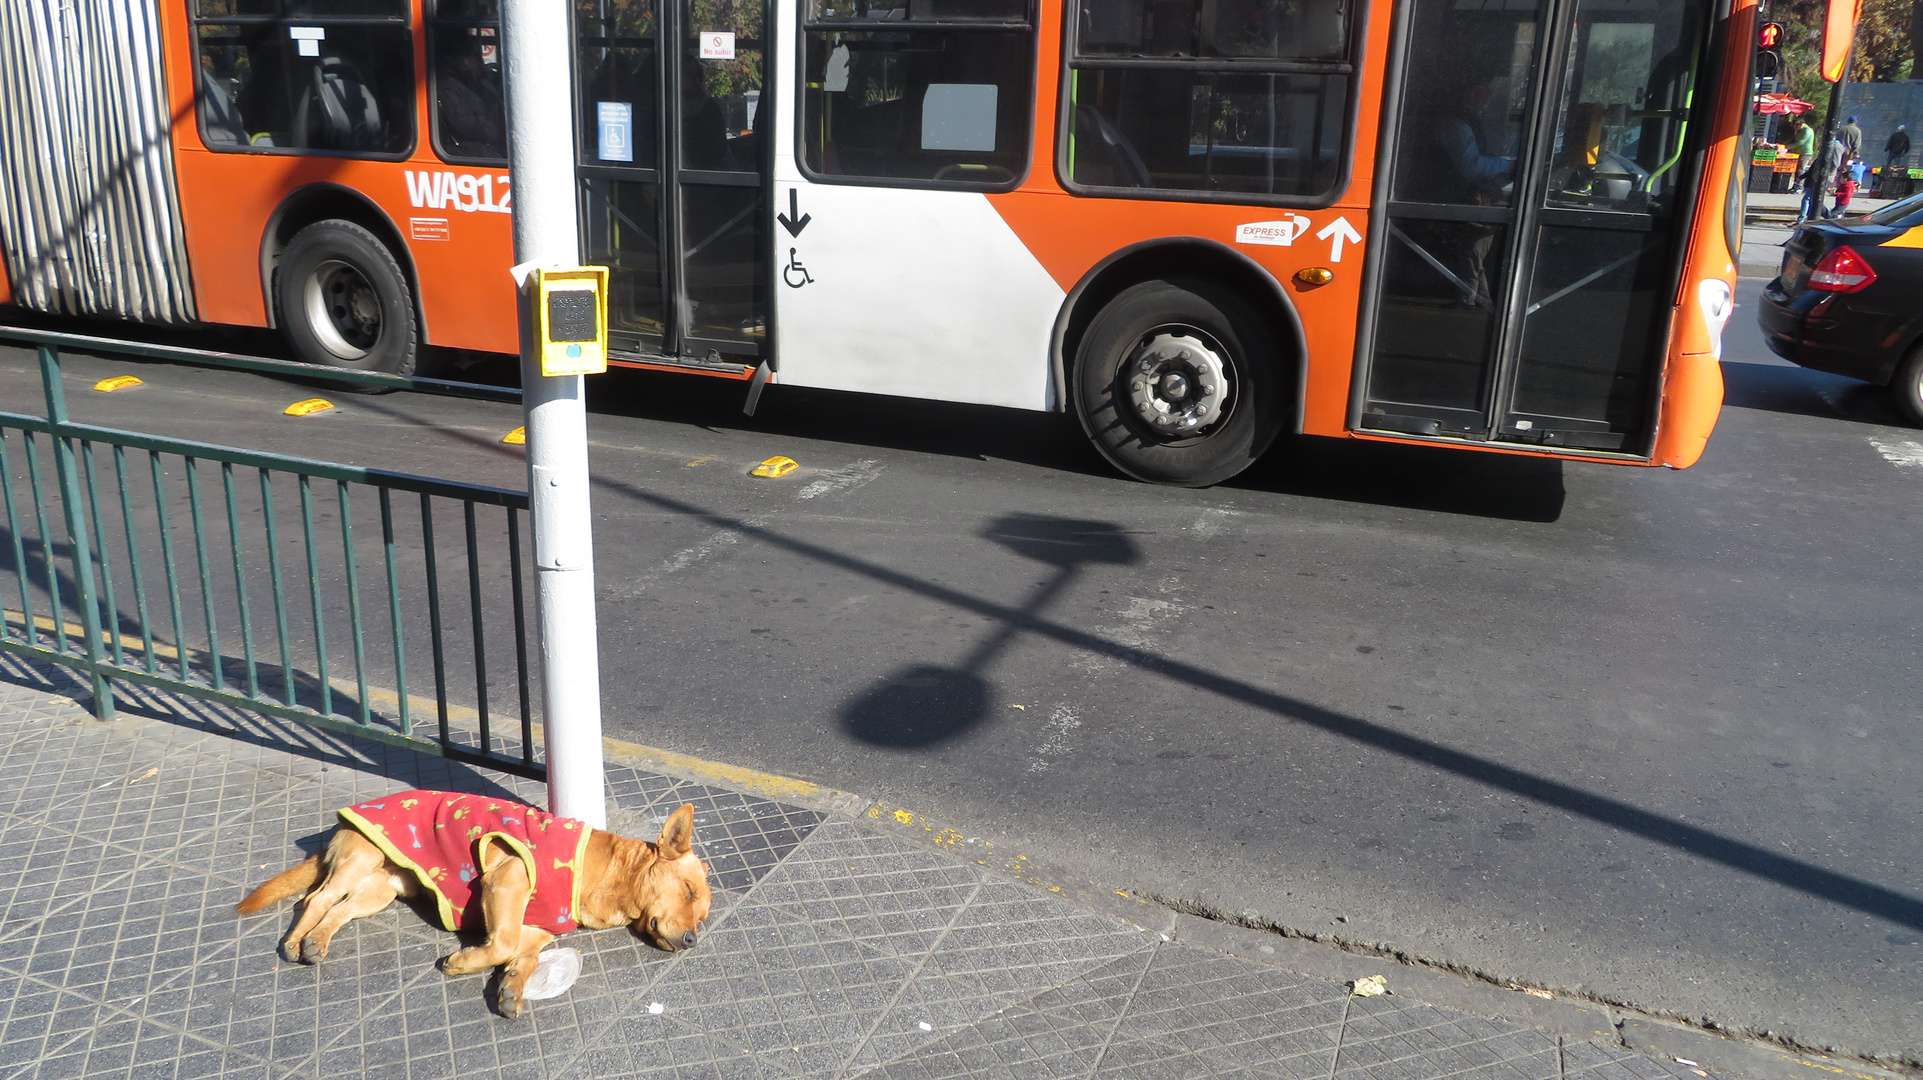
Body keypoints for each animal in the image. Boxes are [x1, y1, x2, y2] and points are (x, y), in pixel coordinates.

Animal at [237, 787, 711, 1014]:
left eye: (703, 918)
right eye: (688, 892)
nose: (693, 940)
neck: (604, 873)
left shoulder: (538, 928)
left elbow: (523, 957)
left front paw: (512, 987)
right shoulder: (509, 877)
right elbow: (501, 943)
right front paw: (464, 962)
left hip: (381, 888)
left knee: (339, 908)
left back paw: (317, 942)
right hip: (360, 861)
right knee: (313, 900)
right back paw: (296, 941)